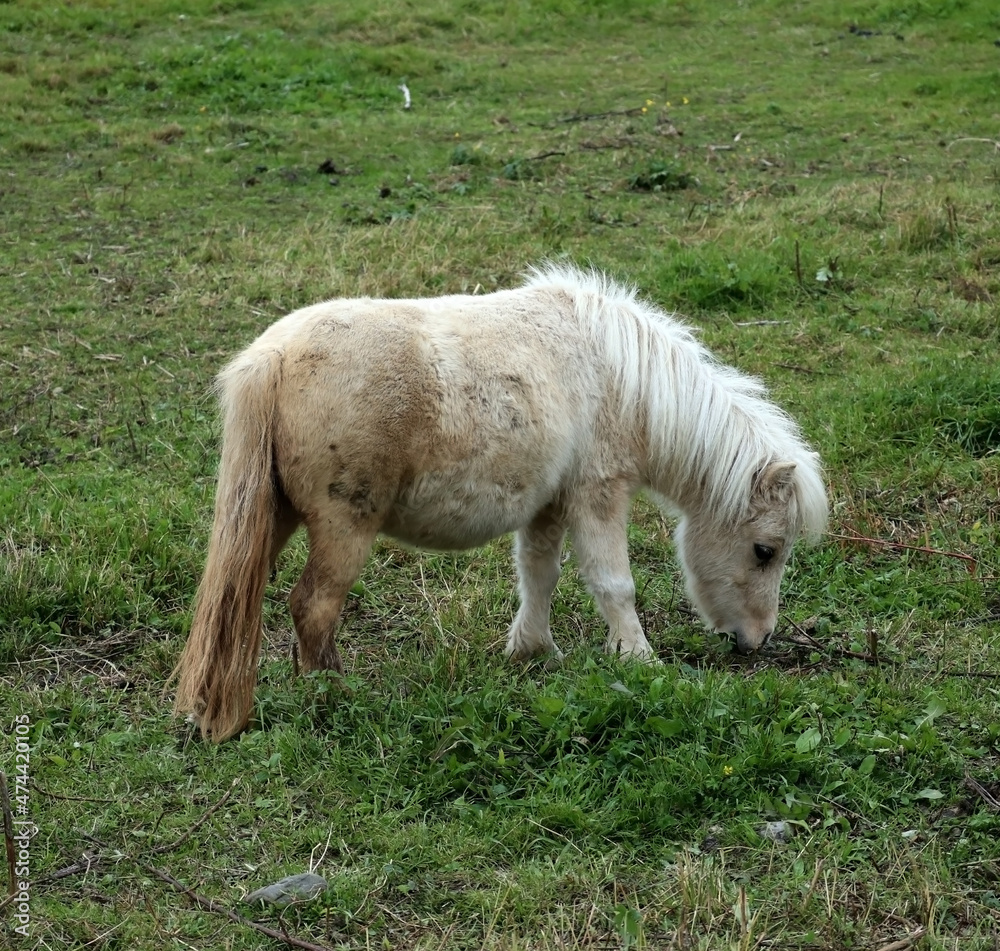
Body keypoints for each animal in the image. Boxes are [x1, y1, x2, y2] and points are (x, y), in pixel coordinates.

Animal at [173, 264, 828, 741]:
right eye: (765, 551)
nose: (756, 641)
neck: (617, 374)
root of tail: (274, 358)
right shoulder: (598, 493)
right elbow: (614, 584)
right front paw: (638, 659)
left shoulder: (548, 505)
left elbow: (539, 575)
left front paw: (532, 650)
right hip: (342, 527)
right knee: (312, 606)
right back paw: (332, 694)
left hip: (274, 516)